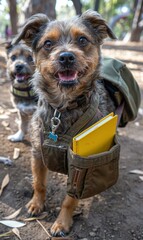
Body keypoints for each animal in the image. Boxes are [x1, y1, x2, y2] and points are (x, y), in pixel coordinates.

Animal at [12, 10, 116, 235]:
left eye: (83, 40)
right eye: (48, 43)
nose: (66, 56)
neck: (63, 106)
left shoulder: (79, 164)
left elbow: (70, 200)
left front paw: (62, 223)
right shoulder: (37, 152)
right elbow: (39, 183)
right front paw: (36, 204)